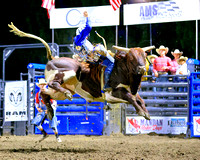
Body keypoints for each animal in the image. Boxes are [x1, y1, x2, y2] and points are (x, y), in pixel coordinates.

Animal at [8, 22, 155, 120]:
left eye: (144, 56)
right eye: (131, 58)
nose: (142, 68)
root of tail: (53, 58)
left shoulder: (131, 92)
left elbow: (139, 100)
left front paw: (146, 113)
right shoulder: (113, 92)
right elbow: (130, 97)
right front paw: (142, 113)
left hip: (59, 92)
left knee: (45, 93)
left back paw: (50, 111)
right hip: (70, 71)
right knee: (51, 84)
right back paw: (65, 94)